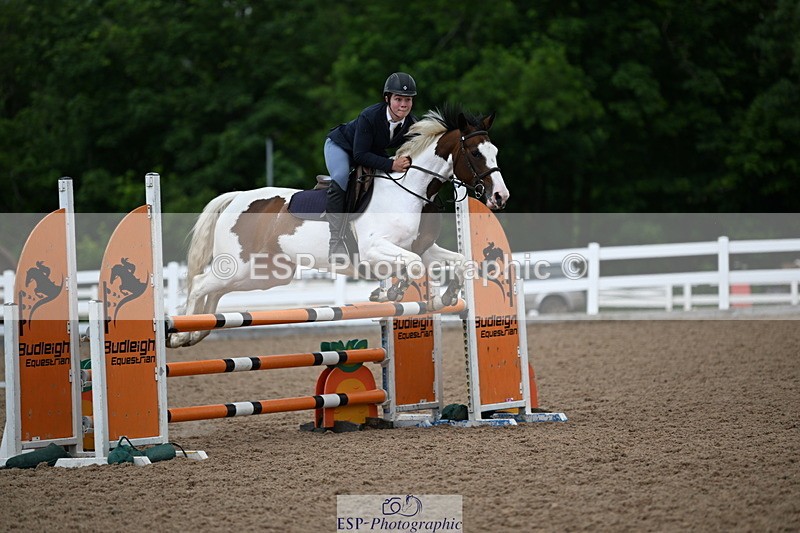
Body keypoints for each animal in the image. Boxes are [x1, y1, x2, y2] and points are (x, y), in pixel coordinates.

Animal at [167, 105, 509, 348]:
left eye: (495, 152)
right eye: (475, 153)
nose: (500, 197)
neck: (408, 190)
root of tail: (237, 198)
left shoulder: (423, 250)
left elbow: (459, 262)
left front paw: (444, 297)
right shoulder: (375, 250)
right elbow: (411, 266)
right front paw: (390, 292)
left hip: (263, 274)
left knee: (216, 292)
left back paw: (195, 333)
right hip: (238, 265)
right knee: (200, 283)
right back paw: (180, 335)